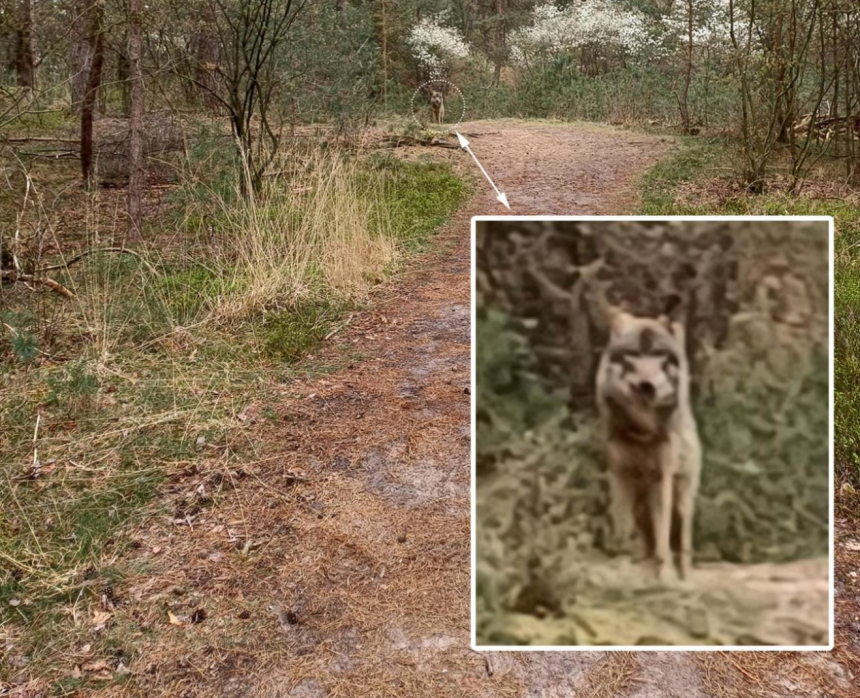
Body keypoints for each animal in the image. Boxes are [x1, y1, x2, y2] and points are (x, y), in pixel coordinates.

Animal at [595, 308, 702, 582]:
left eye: (660, 358)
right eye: (631, 357)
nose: (646, 386)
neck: (641, 431)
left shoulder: (661, 478)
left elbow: (664, 537)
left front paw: (665, 575)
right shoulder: (619, 474)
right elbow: (621, 528)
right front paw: (622, 567)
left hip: (681, 497)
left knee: (682, 540)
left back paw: (684, 574)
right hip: (640, 504)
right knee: (643, 536)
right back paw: (642, 561)